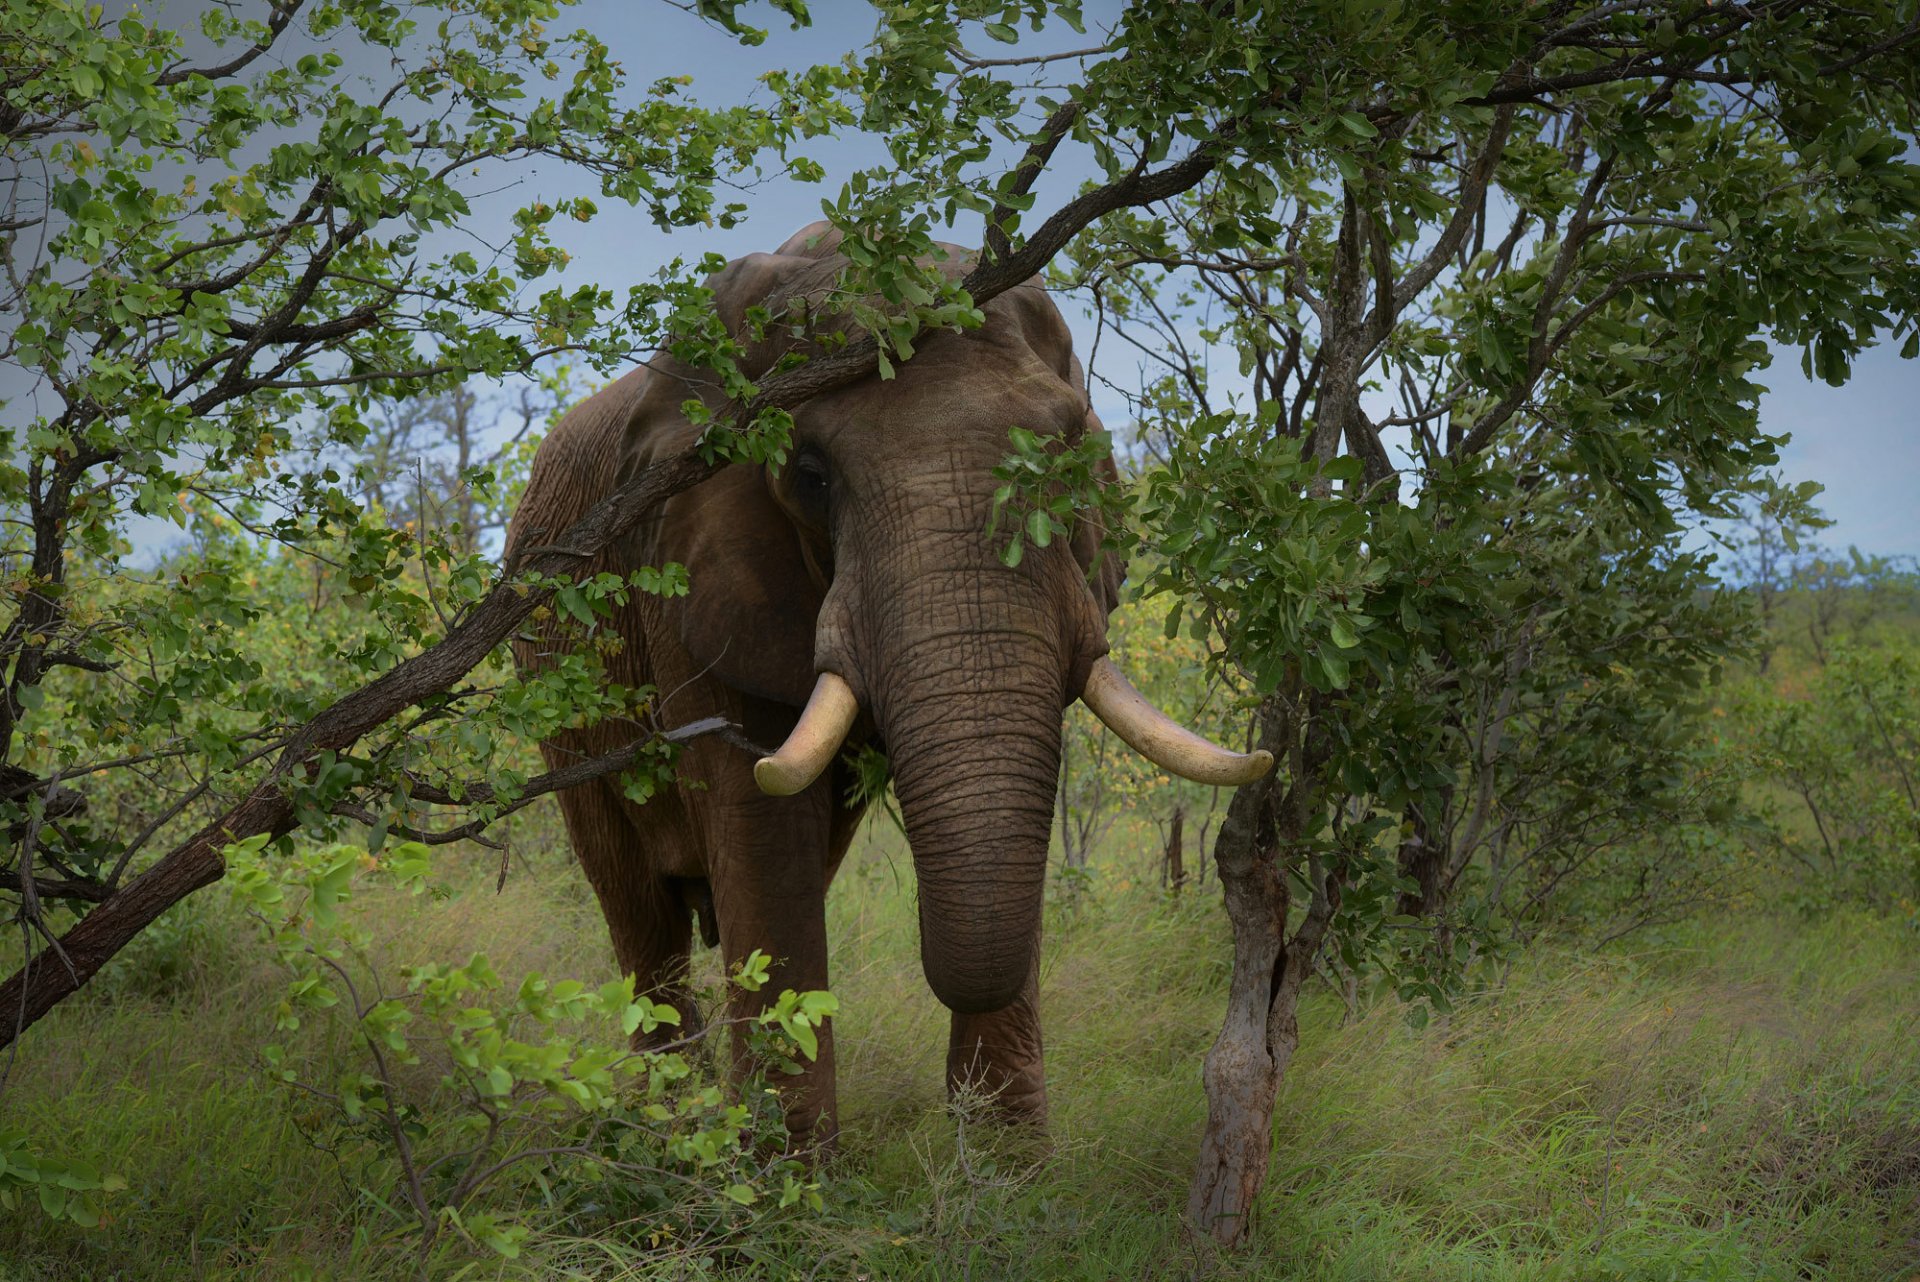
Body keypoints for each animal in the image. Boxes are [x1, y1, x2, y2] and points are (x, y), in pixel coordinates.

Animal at [504, 222, 1269, 1148]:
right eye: (809, 475)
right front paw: (786, 1175)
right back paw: (673, 1128)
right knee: (640, 911)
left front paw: (1009, 1174)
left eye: (1068, 455)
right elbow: (759, 817)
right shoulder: (686, 574)